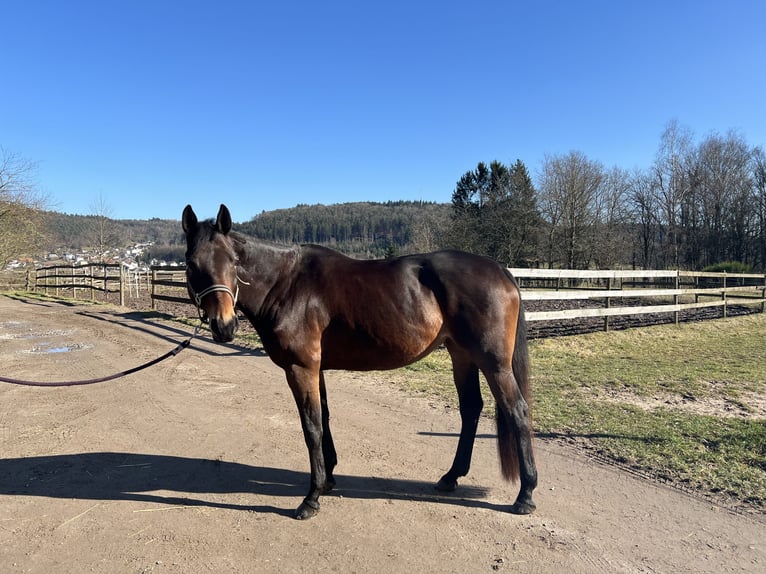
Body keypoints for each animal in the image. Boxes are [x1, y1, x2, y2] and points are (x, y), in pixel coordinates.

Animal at [181, 205, 540, 520]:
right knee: (471, 409)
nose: (224, 326)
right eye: (191, 264)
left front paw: (311, 498)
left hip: (493, 362)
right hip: (461, 355)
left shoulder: (301, 369)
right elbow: (324, 418)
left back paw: (525, 495)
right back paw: (451, 477)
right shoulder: (316, 369)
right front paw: (327, 480)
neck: (287, 284)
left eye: (233, 262)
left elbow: (311, 426)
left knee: (517, 411)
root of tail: (500, 270)